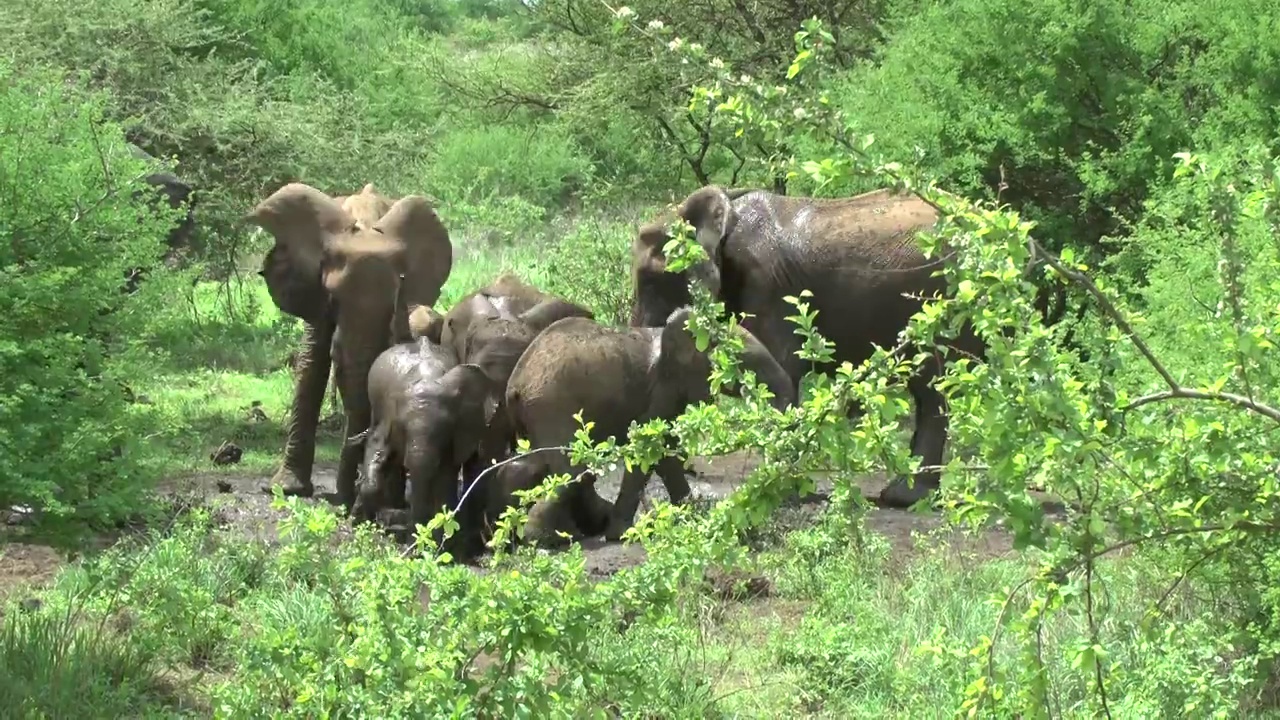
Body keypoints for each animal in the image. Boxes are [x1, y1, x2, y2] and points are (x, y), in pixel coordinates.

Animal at [247, 180, 453, 504]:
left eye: (397, 292)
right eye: (333, 298)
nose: (345, 496)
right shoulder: (313, 290)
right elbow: (313, 361)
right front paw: (286, 490)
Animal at [504, 303, 793, 543]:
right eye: (739, 360)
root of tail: (515, 385)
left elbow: (664, 451)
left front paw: (689, 514)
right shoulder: (663, 387)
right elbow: (651, 446)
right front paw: (622, 534)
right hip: (552, 407)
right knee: (572, 471)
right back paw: (549, 538)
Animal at [634, 184, 983, 509]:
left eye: (650, 281)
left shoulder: (765, 285)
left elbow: (774, 373)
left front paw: (773, 491)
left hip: (941, 301)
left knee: (931, 389)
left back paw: (903, 497)